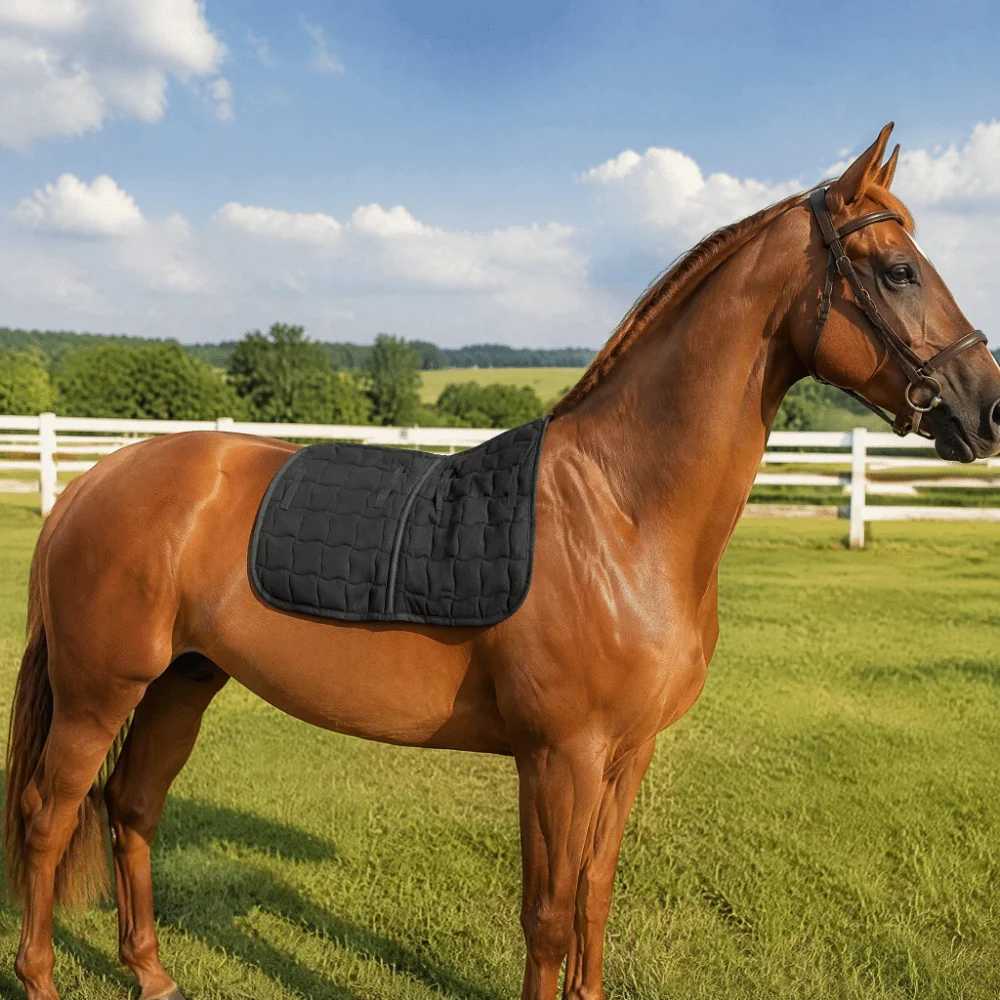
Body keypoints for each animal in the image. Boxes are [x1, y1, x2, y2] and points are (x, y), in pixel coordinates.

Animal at [6, 123, 1000, 1000]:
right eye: (900, 270)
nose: (984, 408)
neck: (619, 513)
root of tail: (92, 482)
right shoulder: (560, 755)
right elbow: (549, 916)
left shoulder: (622, 755)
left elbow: (592, 898)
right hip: (100, 693)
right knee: (51, 817)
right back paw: (44, 977)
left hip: (182, 681)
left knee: (131, 809)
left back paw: (153, 974)